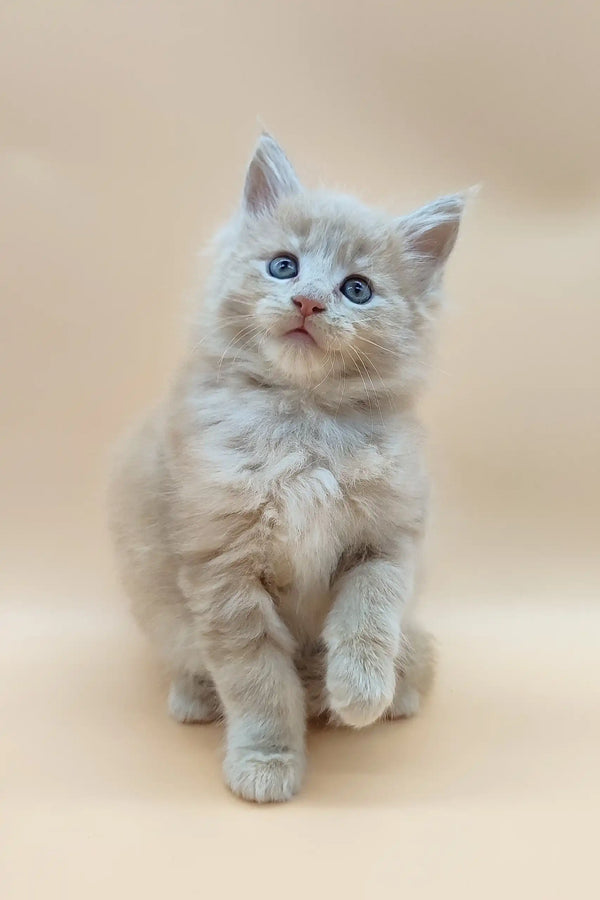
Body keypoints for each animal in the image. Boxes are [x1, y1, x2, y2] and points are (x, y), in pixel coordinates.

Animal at [108, 137, 464, 804]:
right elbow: (257, 682)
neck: (304, 425)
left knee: (414, 654)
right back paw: (194, 698)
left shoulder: (386, 538)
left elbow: (369, 614)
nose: (308, 301)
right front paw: (266, 761)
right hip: (165, 612)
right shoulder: (221, 568)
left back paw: (381, 693)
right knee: (193, 661)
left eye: (357, 289)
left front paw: (361, 693)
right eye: (283, 267)